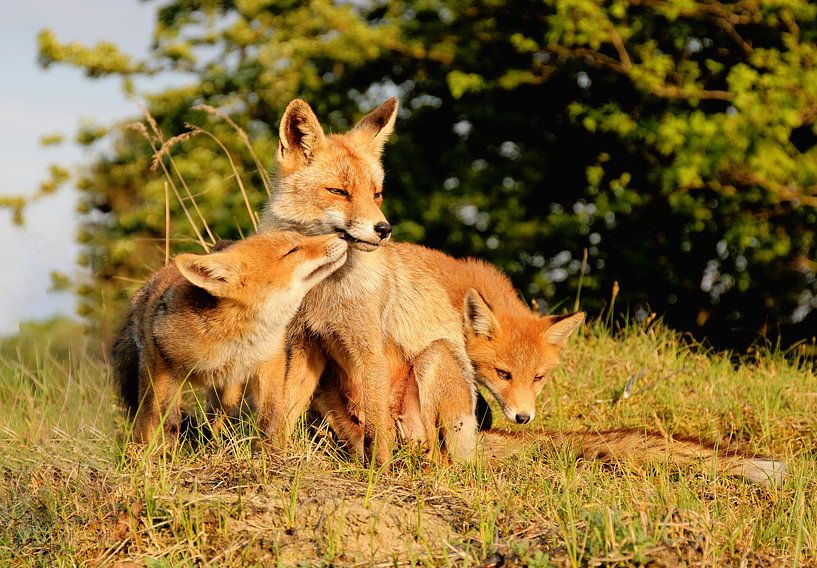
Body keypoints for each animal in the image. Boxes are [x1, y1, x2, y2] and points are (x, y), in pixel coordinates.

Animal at [110, 231, 348, 444]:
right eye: (292, 250)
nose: (343, 235)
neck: (235, 342)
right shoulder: (166, 366)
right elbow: (167, 421)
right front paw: (164, 456)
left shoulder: (269, 363)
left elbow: (270, 417)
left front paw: (268, 454)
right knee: (146, 419)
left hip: (227, 393)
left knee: (215, 418)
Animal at [258, 98, 479, 463]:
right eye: (338, 191)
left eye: (376, 194)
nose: (384, 229)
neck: (324, 289)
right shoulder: (305, 344)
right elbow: (285, 412)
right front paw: (272, 458)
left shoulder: (370, 350)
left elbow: (378, 434)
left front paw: (379, 472)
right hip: (329, 392)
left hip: (434, 361)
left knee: (433, 453)